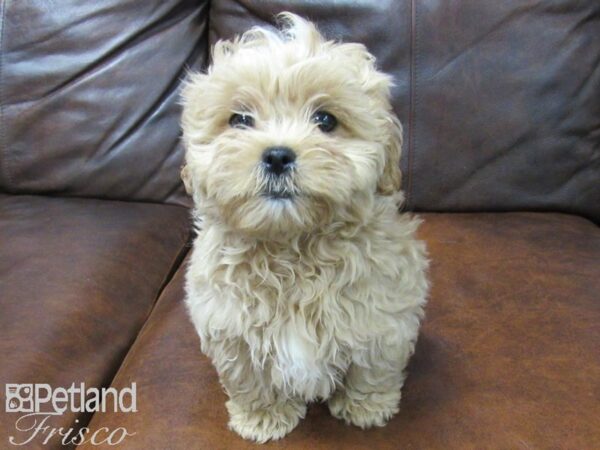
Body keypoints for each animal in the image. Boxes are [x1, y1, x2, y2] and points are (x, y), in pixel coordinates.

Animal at [180, 12, 428, 442]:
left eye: (325, 120)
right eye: (239, 120)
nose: (278, 155)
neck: (292, 247)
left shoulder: (385, 316)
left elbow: (374, 367)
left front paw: (367, 408)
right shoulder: (229, 327)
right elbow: (249, 378)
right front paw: (262, 417)